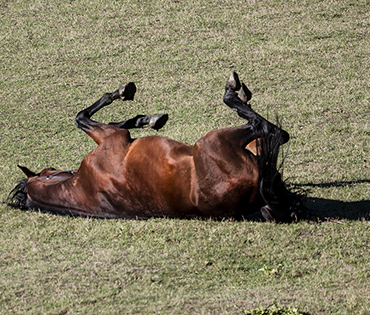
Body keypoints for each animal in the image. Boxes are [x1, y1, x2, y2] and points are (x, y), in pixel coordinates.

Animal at [7, 73, 306, 223]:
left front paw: (147, 118)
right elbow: (82, 116)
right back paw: (233, 90)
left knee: (276, 133)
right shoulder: (112, 137)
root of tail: (261, 195)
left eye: (49, 169)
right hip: (218, 140)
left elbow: (106, 119)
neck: (81, 187)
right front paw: (124, 94)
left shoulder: (112, 135)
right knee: (269, 128)